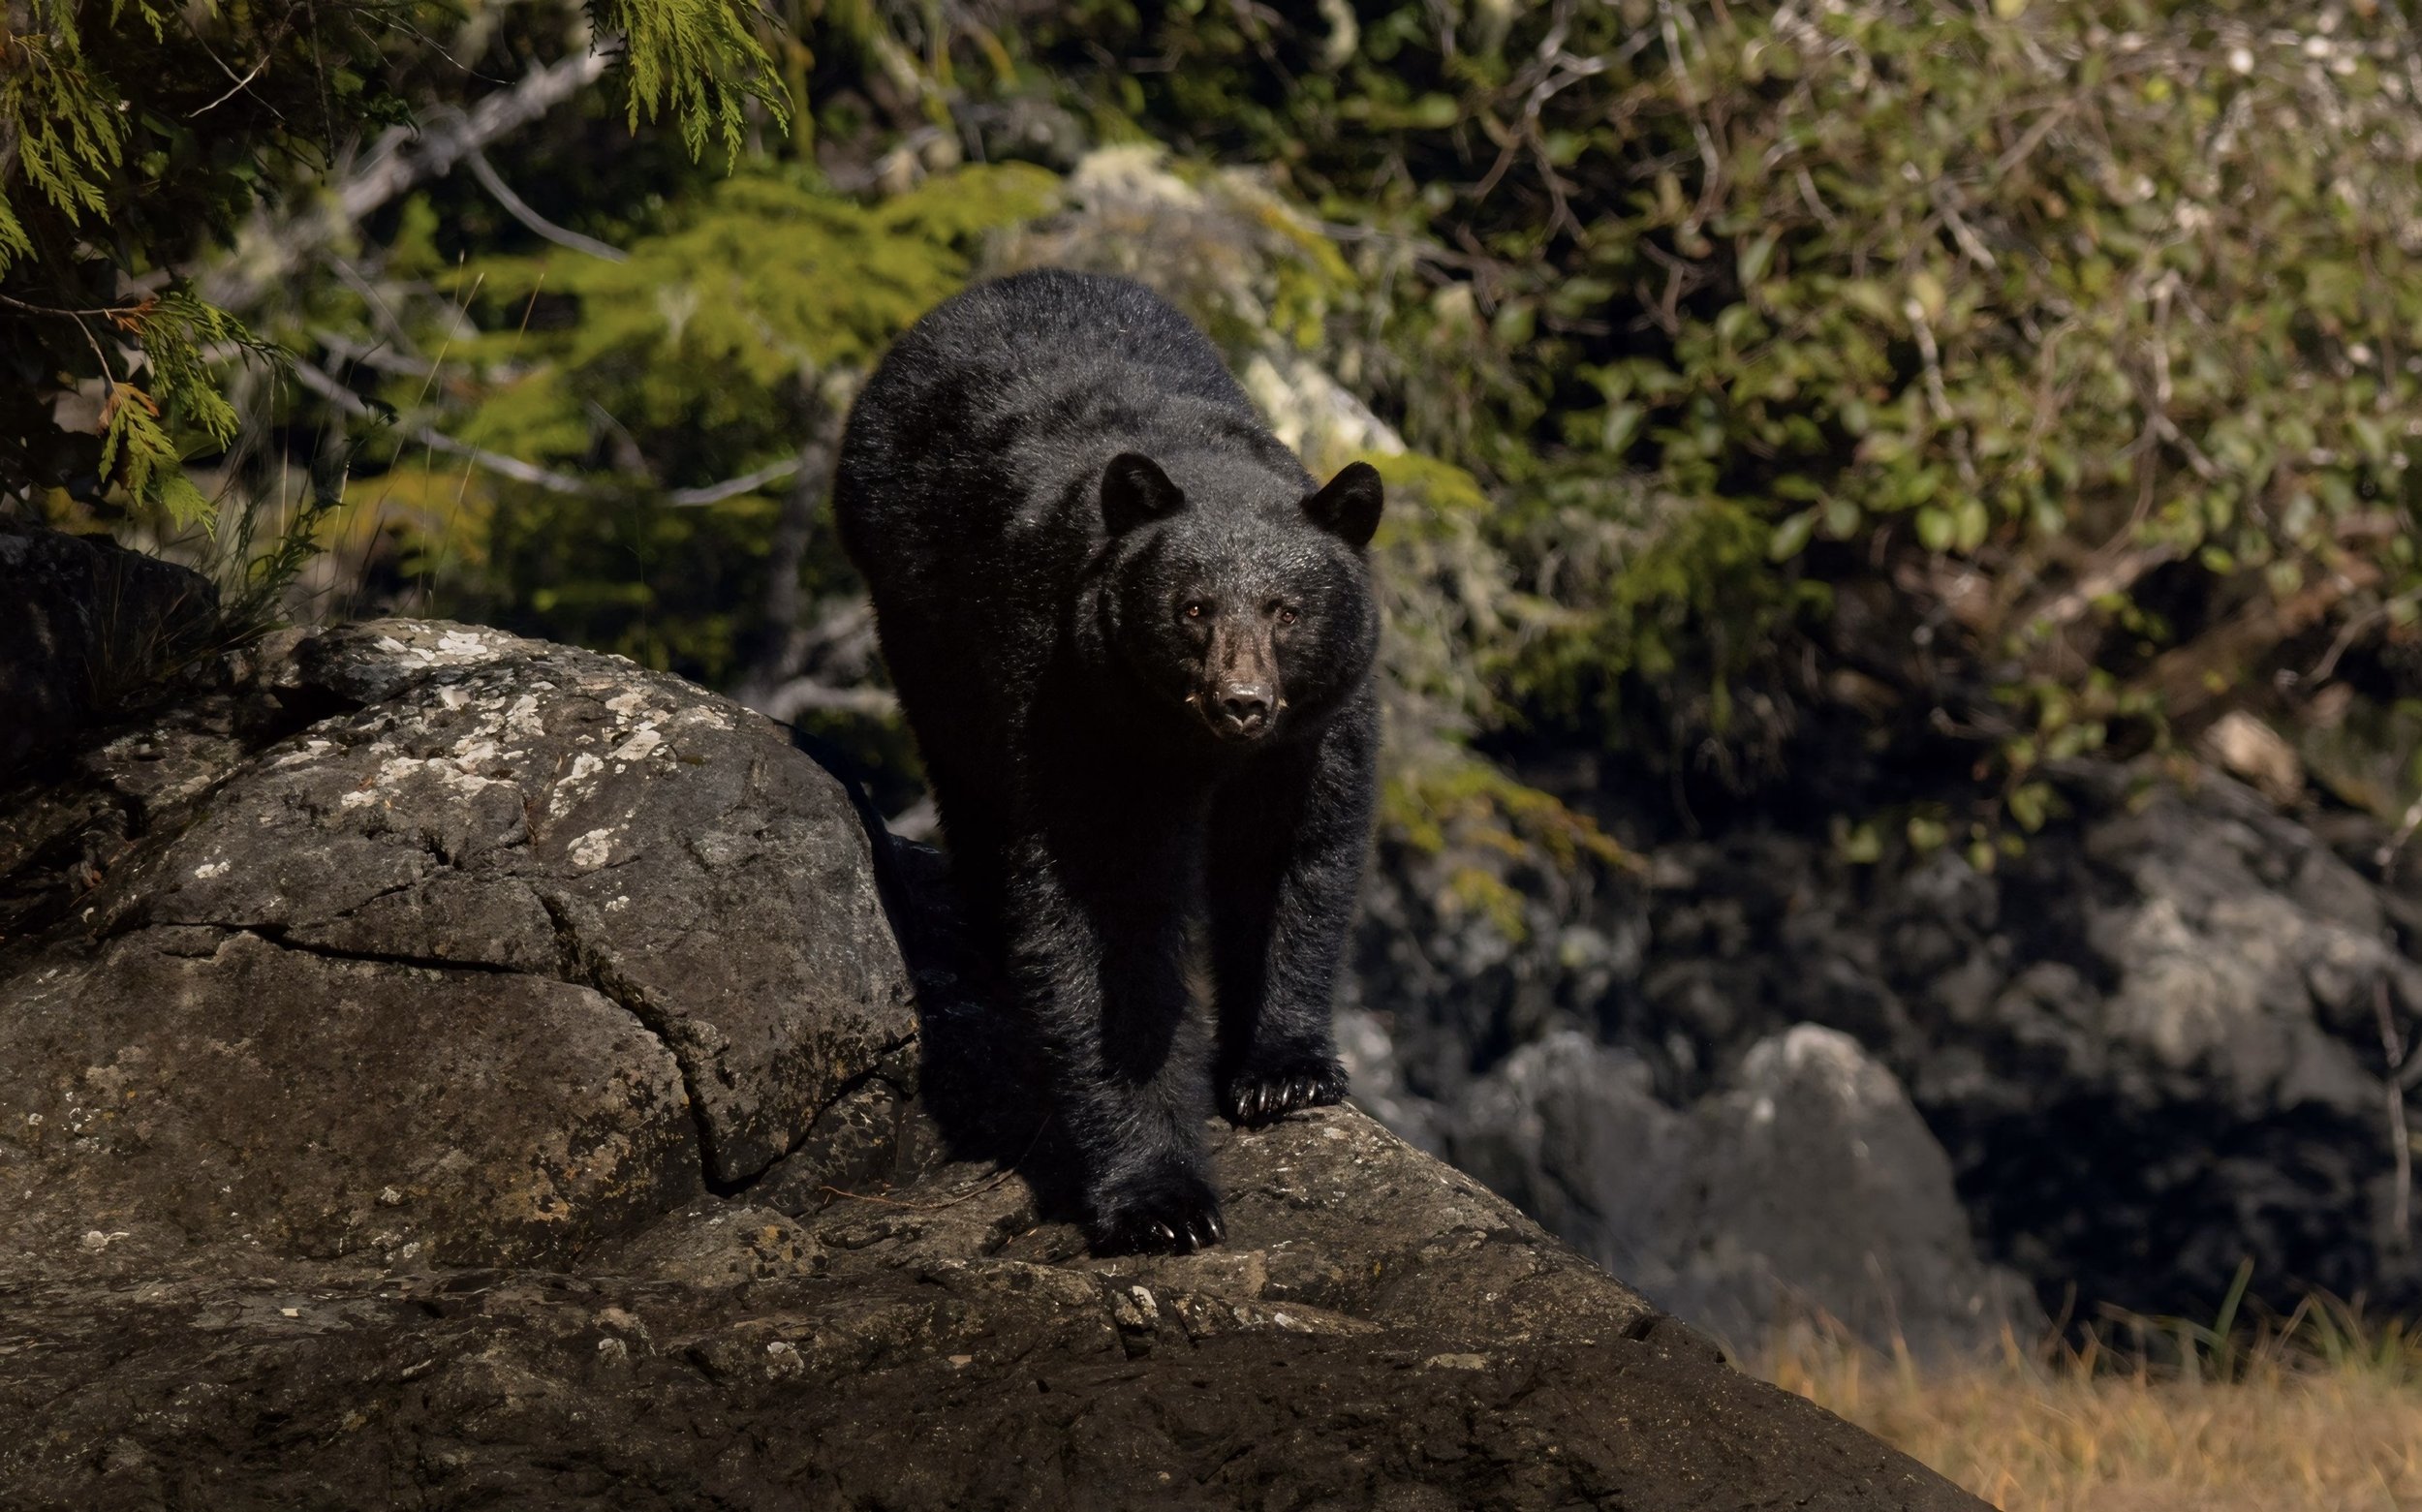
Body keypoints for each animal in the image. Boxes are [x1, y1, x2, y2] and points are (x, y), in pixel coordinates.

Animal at [832, 269, 1384, 1254]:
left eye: (1286, 609)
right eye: (1193, 607)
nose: (1242, 702)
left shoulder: (1316, 724)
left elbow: (1291, 856)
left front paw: (1283, 1069)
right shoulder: (1077, 702)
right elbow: (1105, 910)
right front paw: (1161, 1199)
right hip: (918, 606)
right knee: (969, 776)